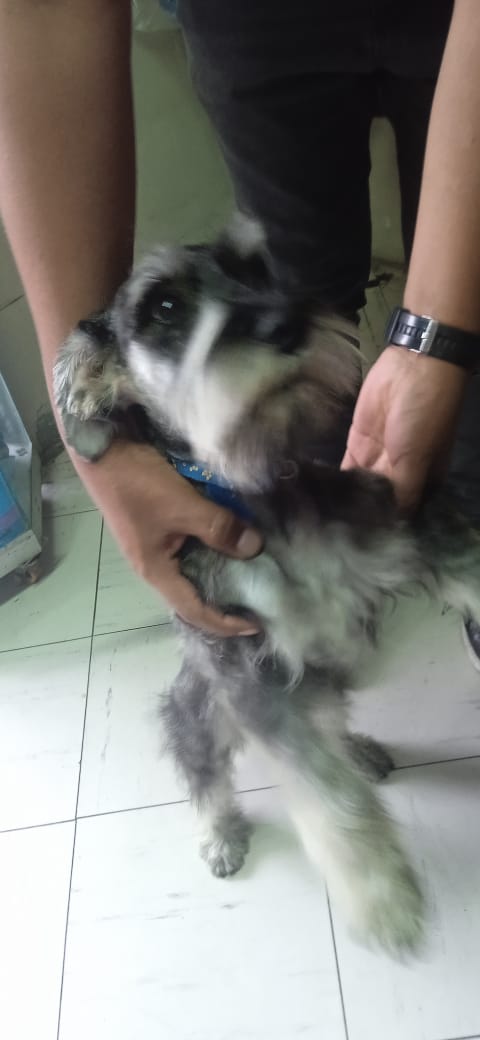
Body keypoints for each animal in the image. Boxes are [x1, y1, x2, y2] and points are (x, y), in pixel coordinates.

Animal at [54, 218, 480, 957]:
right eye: (164, 305)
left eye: (256, 270)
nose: (287, 323)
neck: (258, 488)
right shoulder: (253, 669)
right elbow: (325, 793)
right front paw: (383, 899)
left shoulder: (413, 527)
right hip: (202, 709)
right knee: (207, 771)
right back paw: (221, 835)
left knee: (331, 727)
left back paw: (362, 751)